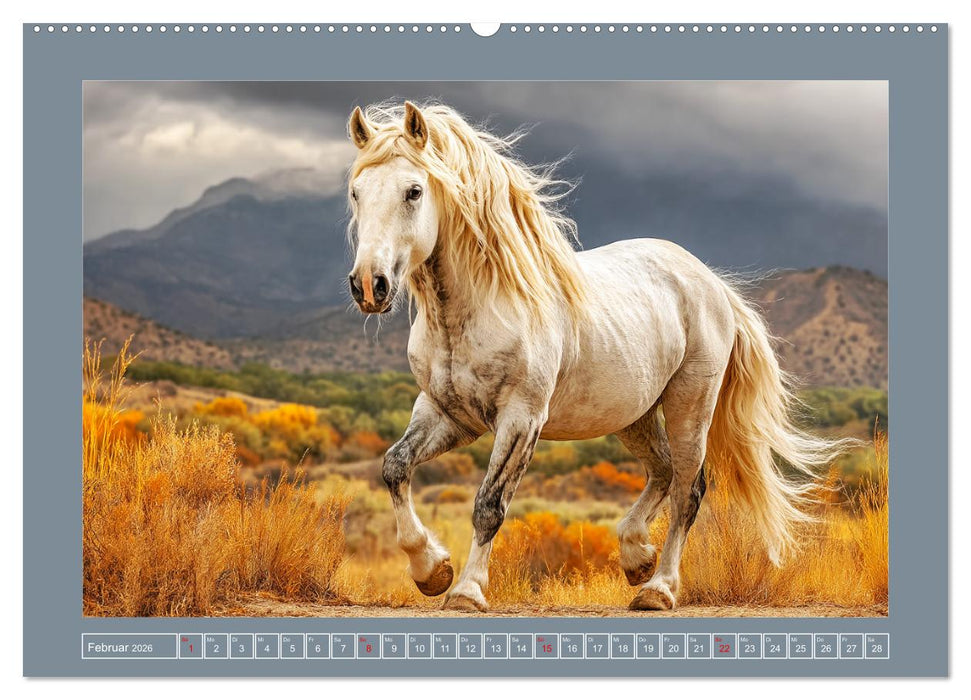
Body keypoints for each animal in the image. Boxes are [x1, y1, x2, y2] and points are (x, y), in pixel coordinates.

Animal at [343, 100, 848, 612]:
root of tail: (710, 282)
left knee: (688, 490)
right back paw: (635, 556)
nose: (369, 285)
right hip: (633, 415)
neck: (482, 305)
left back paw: (658, 588)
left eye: (413, 191)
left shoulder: (521, 419)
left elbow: (489, 505)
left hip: (690, 405)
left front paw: (466, 590)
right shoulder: (447, 413)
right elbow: (394, 468)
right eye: (356, 192)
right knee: (663, 471)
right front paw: (431, 570)